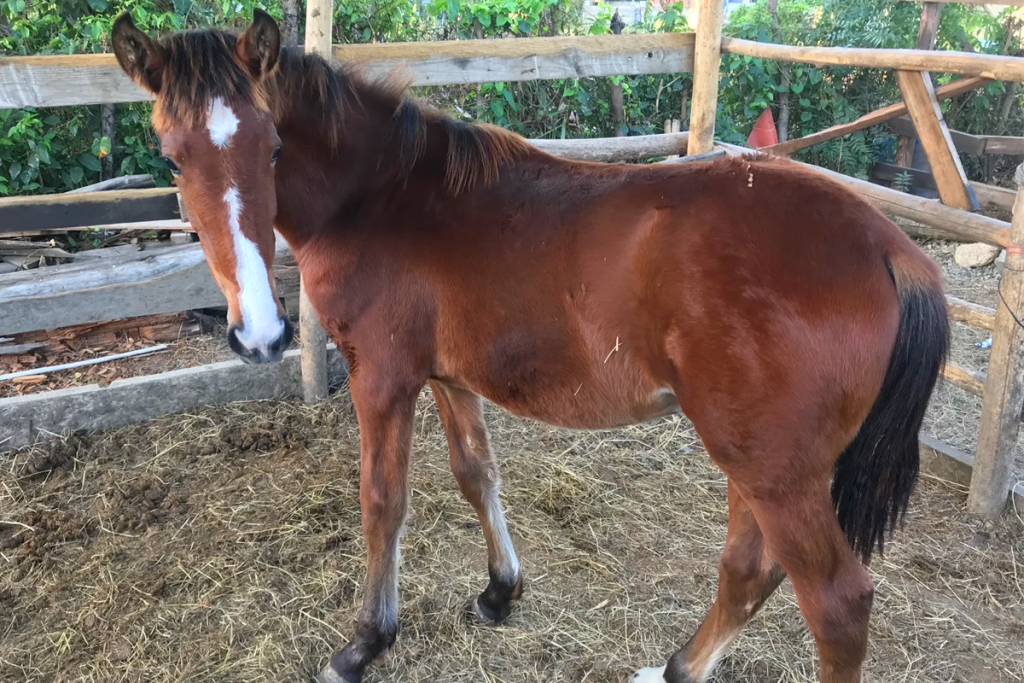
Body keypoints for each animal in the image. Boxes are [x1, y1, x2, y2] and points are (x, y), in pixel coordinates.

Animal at [111, 11, 948, 683]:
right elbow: (477, 474)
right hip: (756, 459)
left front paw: (365, 642)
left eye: (274, 146)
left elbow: (383, 501)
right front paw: (498, 590)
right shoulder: (448, 375)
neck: (382, 195)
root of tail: (890, 249)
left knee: (837, 604)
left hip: (774, 470)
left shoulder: (382, 376)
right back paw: (675, 667)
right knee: (747, 570)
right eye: (173, 157)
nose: (260, 333)